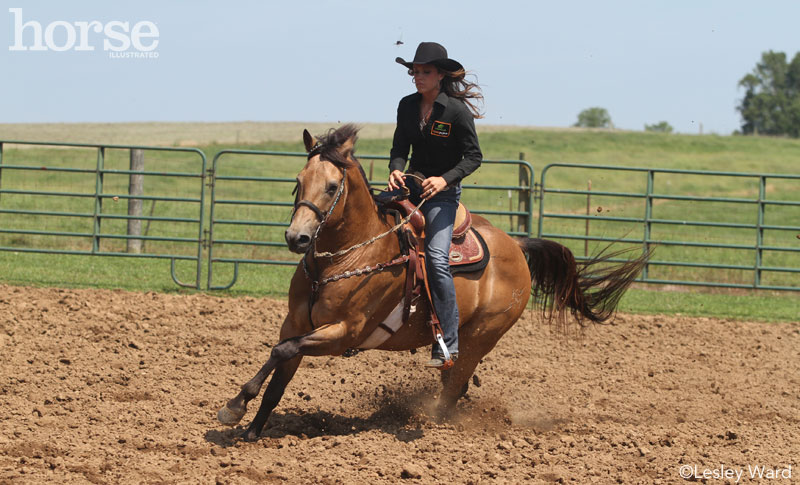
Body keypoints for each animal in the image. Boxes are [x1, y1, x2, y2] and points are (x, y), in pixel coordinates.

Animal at [219, 123, 648, 440]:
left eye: (330, 186)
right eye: (298, 180)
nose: (298, 238)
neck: (346, 257)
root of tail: (516, 244)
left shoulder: (343, 333)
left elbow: (283, 351)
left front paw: (234, 407)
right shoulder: (296, 323)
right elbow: (280, 367)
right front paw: (251, 428)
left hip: (480, 337)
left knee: (453, 387)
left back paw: (435, 423)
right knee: (454, 383)